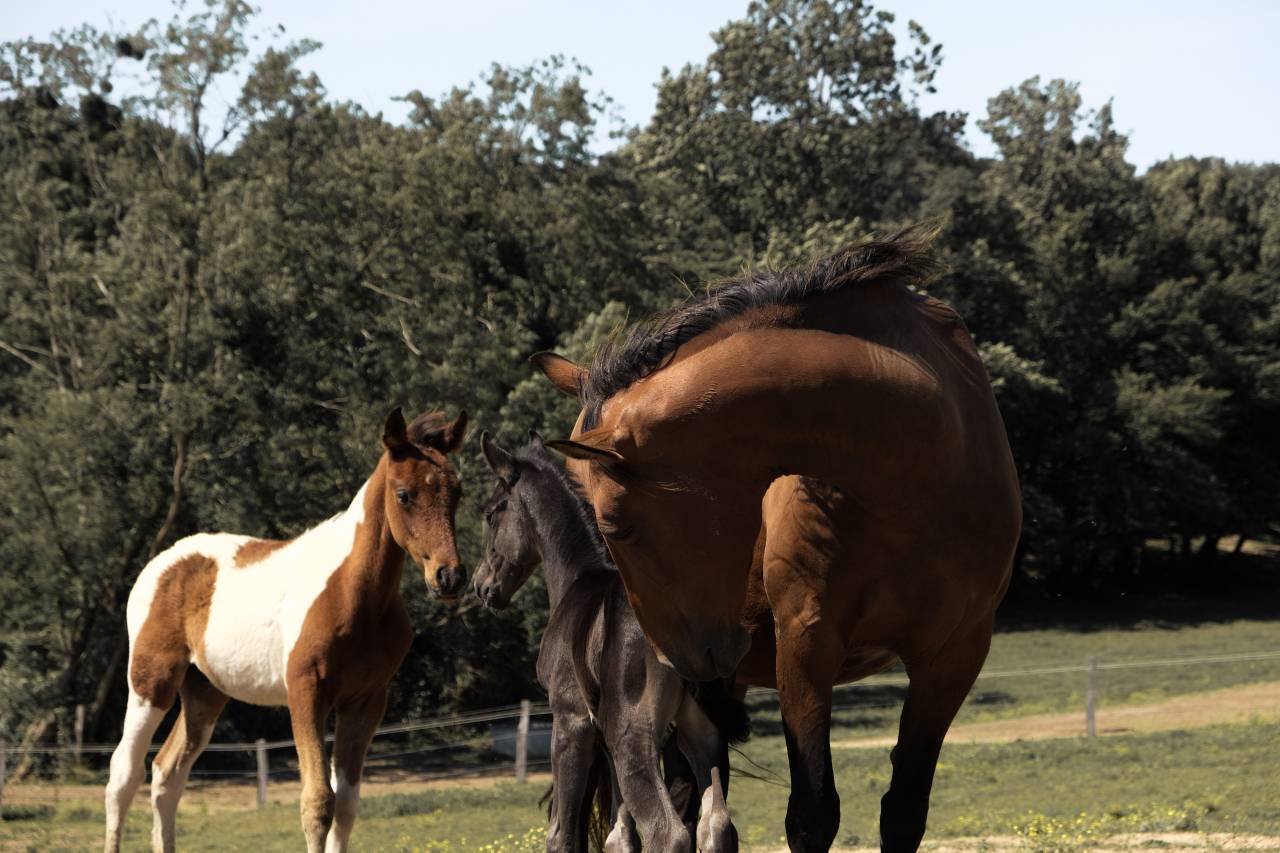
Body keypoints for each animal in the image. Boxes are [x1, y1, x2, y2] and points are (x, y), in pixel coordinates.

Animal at [103, 408, 468, 853]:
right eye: (404, 495)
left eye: (458, 493)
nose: (449, 577)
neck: (353, 592)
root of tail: (164, 561)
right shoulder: (306, 693)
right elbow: (318, 803)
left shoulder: (365, 701)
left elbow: (346, 805)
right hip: (151, 681)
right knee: (124, 774)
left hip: (204, 691)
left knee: (167, 774)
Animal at [472, 431, 745, 853]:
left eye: (491, 514)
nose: (482, 585)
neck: (576, 580)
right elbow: (620, 833)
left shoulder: (571, 721)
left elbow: (562, 833)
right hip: (703, 738)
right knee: (715, 827)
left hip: (630, 736)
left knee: (668, 832)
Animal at [532, 227, 1022, 852]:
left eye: (613, 524)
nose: (677, 658)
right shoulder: (807, 642)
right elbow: (812, 814)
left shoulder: (953, 657)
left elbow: (903, 811)